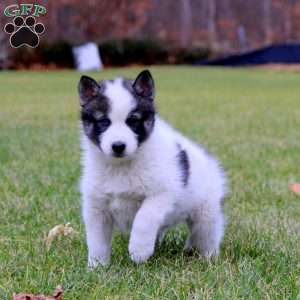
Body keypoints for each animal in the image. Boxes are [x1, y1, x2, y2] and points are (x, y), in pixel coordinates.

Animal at [78, 70, 226, 268]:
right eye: (104, 122)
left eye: (133, 121)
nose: (118, 146)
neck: (122, 167)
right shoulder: (96, 207)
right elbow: (96, 240)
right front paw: (97, 266)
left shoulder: (161, 193)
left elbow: (144, 218)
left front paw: (139, 250)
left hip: (206, 213)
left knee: (206, 235)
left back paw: (207, 257)